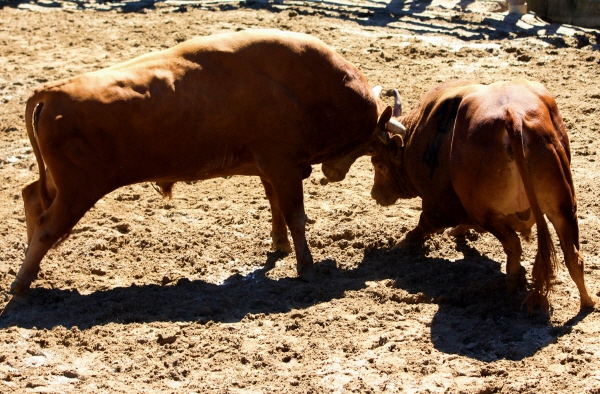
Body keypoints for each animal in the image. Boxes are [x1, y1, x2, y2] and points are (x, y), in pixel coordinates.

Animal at [14, 29, 394, 294]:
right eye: (375, 148)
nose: (335, 174)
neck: (305, 87)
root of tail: (51, 92)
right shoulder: (284, 168)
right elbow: (295, 216)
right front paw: (307, 267)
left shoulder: (270, 169)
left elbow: (275, 208)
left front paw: (280, 245)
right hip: (77, 191)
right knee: (47, 226)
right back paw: (21, 285)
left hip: (59, 185)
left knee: (31, 196)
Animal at [370, 79, 596, 310]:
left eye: (379, 165)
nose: (375, 193)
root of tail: (512, 116)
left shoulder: (437, 206)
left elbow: (422, 227)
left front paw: (400, 244)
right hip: (563, 208)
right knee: (572, 256)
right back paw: (587, 300)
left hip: (486, 213)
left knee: (513, 244)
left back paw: (514, 280)